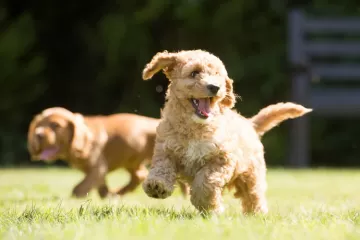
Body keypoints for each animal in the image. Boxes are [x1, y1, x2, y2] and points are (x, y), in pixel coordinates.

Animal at [27, 108, 190, 199]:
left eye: (55, 125)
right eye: (39, 124)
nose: (38, 134)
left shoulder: (97, 168)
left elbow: (80, 187)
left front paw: (77, 196)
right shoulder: (98, 172)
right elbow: (100, 186)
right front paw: (106, 195)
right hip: (131, 159)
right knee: (139, 175)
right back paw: (117, 193)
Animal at [141, 49, 312, 215]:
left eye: (218, 75)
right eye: (194, 73)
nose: (215, 87)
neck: (195, 127)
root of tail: (249, 123)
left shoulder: (223, 158)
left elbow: (206, 182)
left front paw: (209, 206)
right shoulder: (166, 149)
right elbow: (162, 167)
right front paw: (157, 185)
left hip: (252, 173)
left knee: (254, 194)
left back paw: (256, 214)